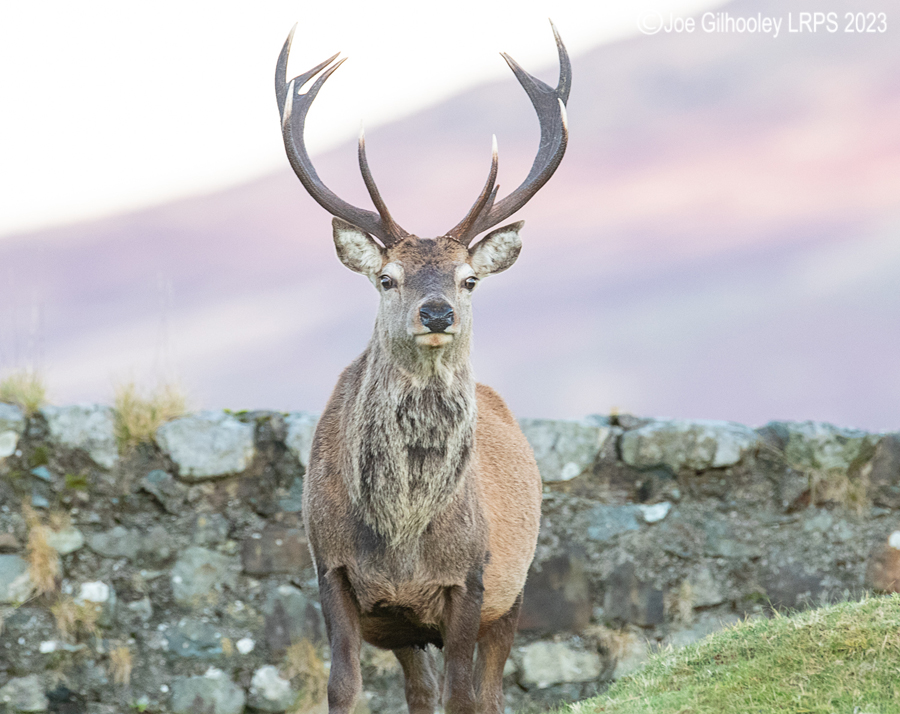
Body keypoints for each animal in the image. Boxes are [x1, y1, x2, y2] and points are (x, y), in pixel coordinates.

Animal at [275, 21, 569, 714]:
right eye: (387, 277)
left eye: (469, 279)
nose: (437, 312)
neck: (403, 541)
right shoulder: (332, 569)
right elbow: (343, 687)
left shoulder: (473, 577)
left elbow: (465, 694)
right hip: (409, 630)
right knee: (419, 690)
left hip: (515, 593)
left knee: (486, 693)